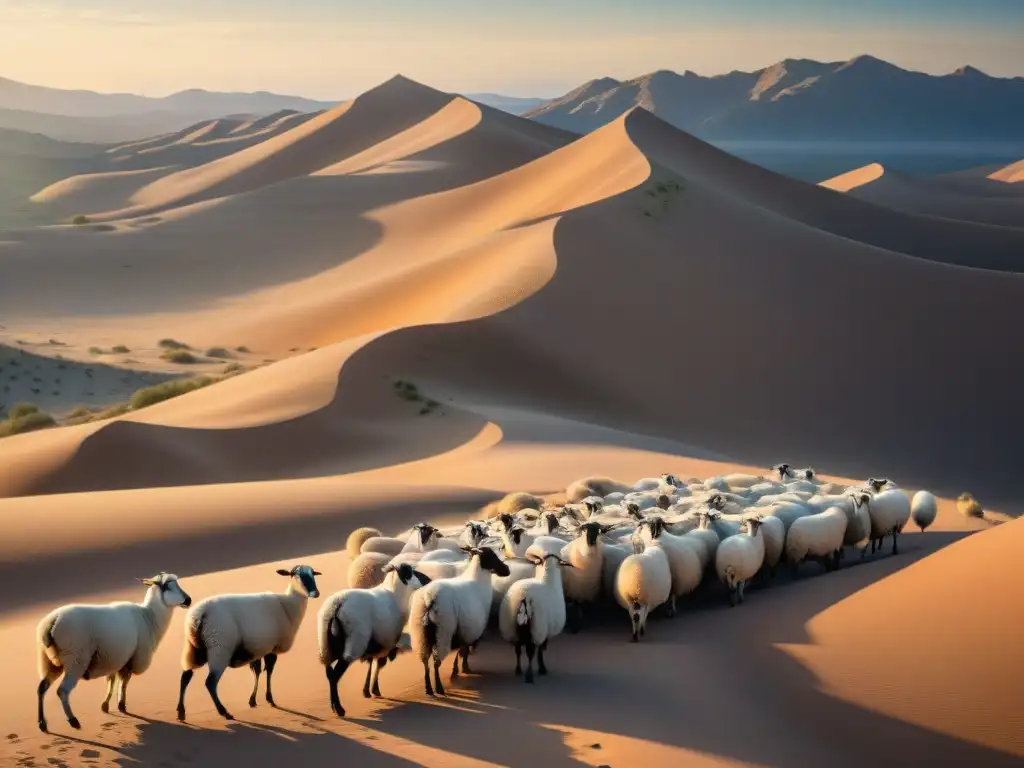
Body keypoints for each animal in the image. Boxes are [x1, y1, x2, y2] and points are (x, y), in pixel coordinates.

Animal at [36, 577, 192, 733]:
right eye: (167, 587)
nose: (188, 600)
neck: (149, 616)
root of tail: (53, 620)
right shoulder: (130, 659)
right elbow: (124, 682)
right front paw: (121, 704)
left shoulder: (114, 657)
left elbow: (112, 679)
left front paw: (105, 705)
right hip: (76, 659)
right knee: (62, 691)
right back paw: (73, 720)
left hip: (49, 660)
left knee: (42, 688)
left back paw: (42, 723)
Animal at [176, 565, 319, 720]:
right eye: (296, 575)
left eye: (313, 574)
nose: (315, 593)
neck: (286, 605)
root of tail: (199, 615)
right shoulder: (271, 648)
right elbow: (268, 671)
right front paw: (270, 699)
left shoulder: (256, 648)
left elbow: (257, 671)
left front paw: (253, 700)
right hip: (219, 650)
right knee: (210, 683)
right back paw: (224, 711)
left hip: (193, 648)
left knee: (186, 676)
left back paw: (181, 712)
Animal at [319, 561, 432, 720]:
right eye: (413, 573)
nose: (429, 580)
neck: (396, 594)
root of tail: (337, 605)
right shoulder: (387, 641)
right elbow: (379, 663)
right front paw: (374, 690)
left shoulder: (376, 642)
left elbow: (372, 662)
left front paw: (368, 691)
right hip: (354, 644)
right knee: (335, 675)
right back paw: (340, 709)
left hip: (326, 646)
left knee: (329, 673)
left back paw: (333, 707)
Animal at [407, 548, 512, 696]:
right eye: (492, 557)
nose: (507, 570)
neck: (478, 579)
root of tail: (428, 598)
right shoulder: (467, 630)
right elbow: (463, 651)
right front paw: (462, 669)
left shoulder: (462, 630)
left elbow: (461, 651)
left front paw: (458, 671)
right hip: (444, 630)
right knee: (436, 662)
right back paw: (439, 688)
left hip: (421, 632)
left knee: (425, 660)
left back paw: (428, 689)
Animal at [497, 548, 577, 684]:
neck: (547, 578)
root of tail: (523, 596)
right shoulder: (545, 632)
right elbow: (541, 651)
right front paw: (542, 669)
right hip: (536, 627)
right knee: (530, 652)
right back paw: (529, 676)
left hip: (511, 628)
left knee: (517, 650)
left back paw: (518, 670)